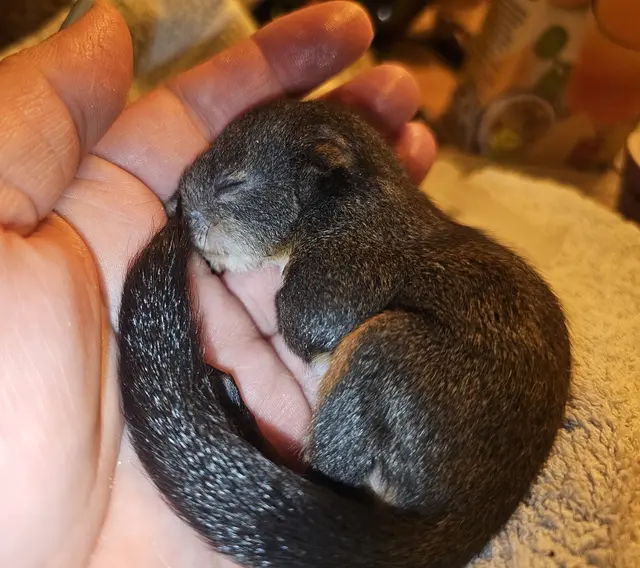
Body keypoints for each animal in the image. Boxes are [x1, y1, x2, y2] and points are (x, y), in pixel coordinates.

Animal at [117, 99, 572, 568]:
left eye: (232, 184)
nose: (177, 206)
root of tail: (468, 519)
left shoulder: (345, 262)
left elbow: (309, 318)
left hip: (384, 346)